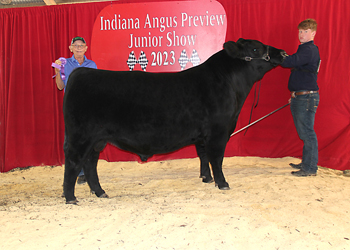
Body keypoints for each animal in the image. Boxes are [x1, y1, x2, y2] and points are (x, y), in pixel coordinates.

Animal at [63, 38, 288, 203]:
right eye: (255, 48)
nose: (284, 53)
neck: (229, 84)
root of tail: (80, 72)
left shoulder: (204, 135)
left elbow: (203, 155)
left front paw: (207, 178)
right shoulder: (218, 131)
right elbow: (216, 158)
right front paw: (222, 183)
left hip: (97, 140)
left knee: (90, 164)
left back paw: (100, 192)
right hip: (81, 136)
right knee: (74, 161)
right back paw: (70, 197)